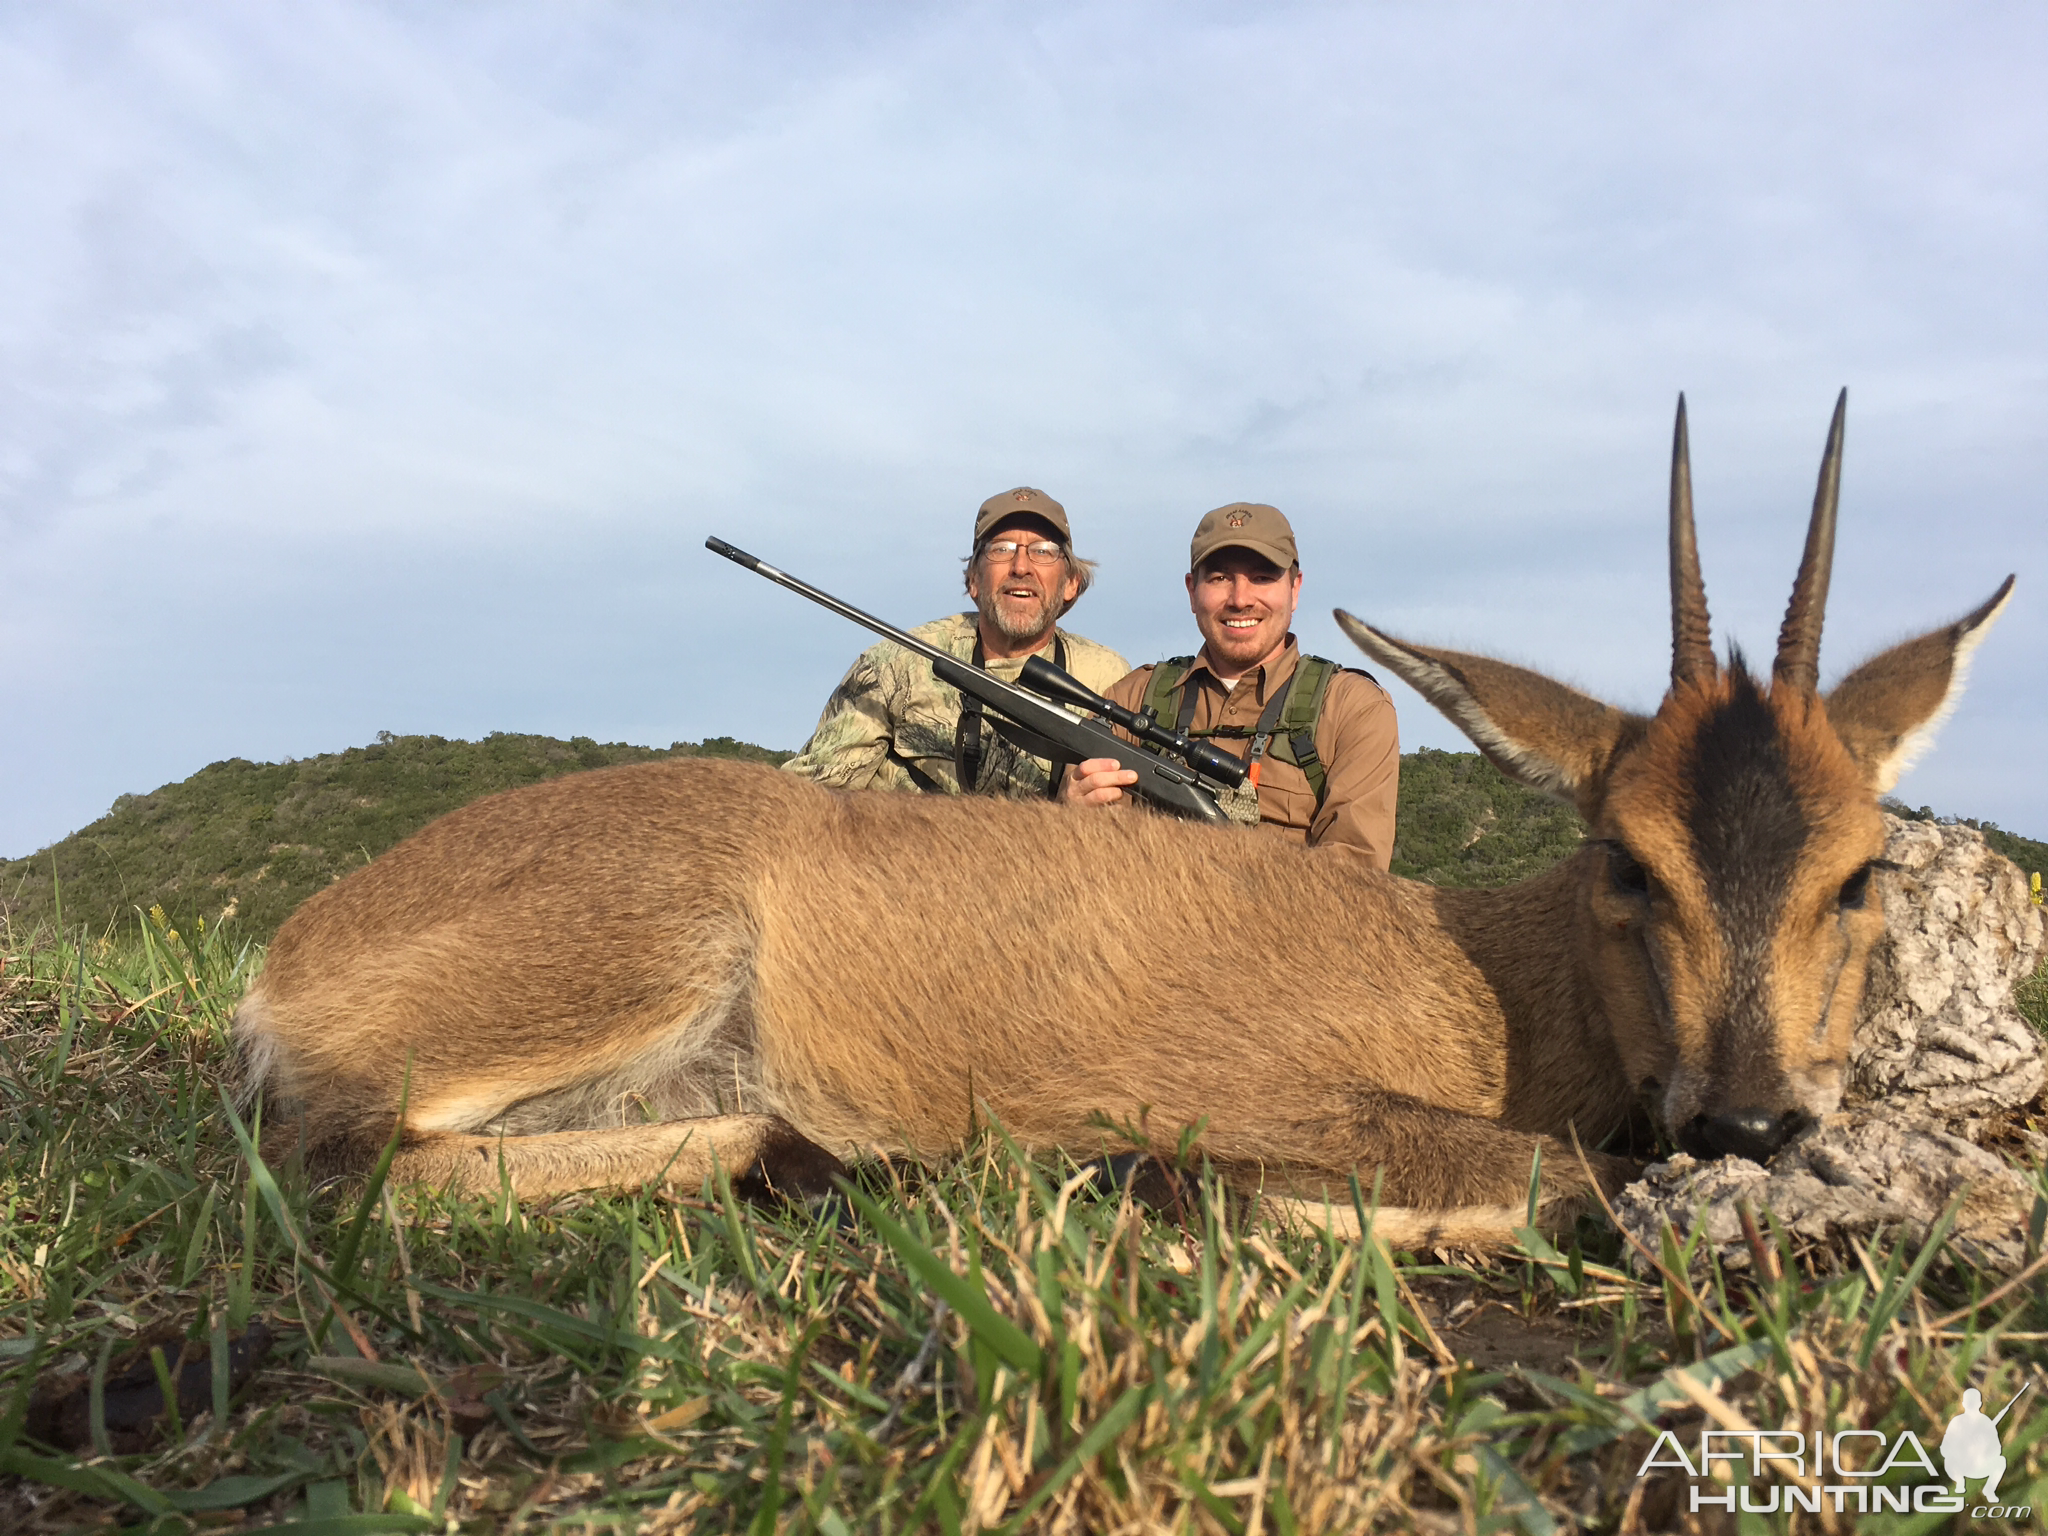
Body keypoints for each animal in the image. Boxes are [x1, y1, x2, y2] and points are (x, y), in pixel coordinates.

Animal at [239, 397, 2015, 1253]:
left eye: (1862, 869)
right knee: (343, 1163)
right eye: (1626, 860)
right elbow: (1558, 1166)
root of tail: (289, 955)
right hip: (635, 966)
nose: (1753, 1120)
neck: (1478, 976)